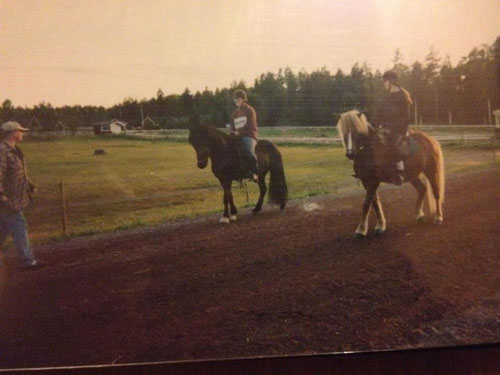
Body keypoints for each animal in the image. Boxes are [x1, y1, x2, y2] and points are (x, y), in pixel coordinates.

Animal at [338, 109, 444, 238]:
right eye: (344, 132)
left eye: (356, 132)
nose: (350, 154)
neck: (370, 150)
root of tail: (430, 139)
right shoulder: (366, 182)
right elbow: (375, 203)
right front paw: (380, 226)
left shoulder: (373, 181)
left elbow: (366, 204)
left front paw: (361, 229)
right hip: (413, 175)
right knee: (422, 189)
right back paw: (418, 214)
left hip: (431, 171)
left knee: (436, 193)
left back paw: (438, 217)